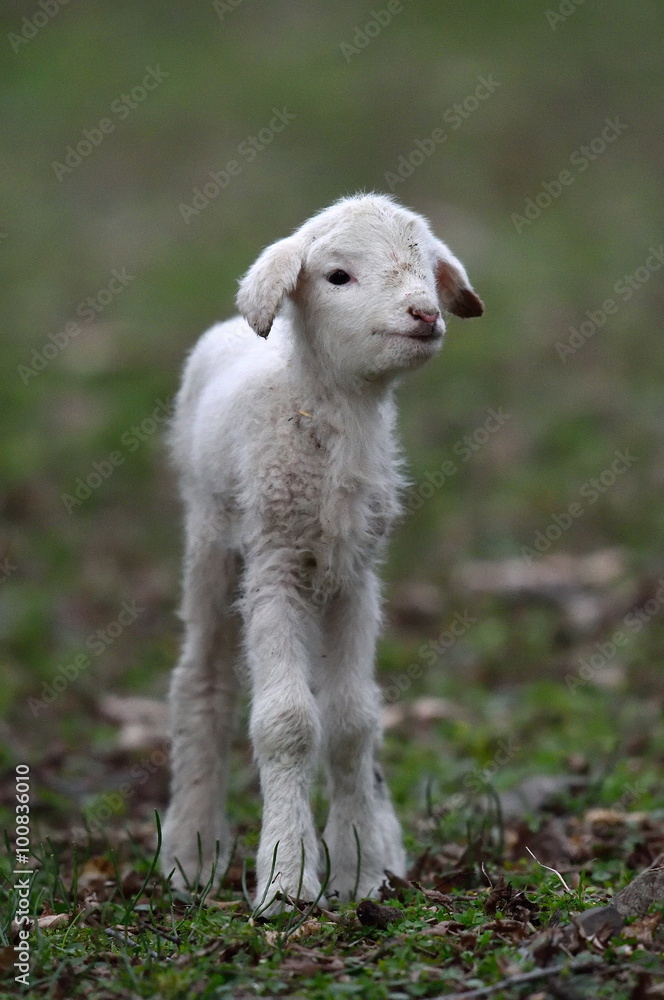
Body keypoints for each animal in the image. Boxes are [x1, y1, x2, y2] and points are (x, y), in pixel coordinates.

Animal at [161, 193, 483, 912]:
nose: (425, 314)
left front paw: (361, 867)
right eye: (338, 276)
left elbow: (352, 720)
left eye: (425, 266)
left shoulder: (357, 576)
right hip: (209, 539)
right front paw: (286, 879)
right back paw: (190, 850)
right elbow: (287, 722)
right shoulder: (275, 563)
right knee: (204, 681)